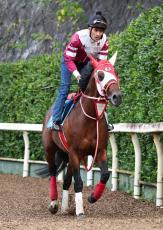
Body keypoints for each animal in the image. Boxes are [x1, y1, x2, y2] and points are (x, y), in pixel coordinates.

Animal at [42, 52, 122, 217]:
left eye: (116, 73)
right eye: (100, 75)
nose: (117, 96)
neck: (90, 118)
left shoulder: (100, 150)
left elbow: (105, 175)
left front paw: (92, 197)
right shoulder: (74, 151)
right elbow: (78, 182)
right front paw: (80, 211)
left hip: (69, 156)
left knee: (66, 181)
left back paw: (65, 208)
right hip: (50, 149)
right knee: (52, 172)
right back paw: (53, 204)